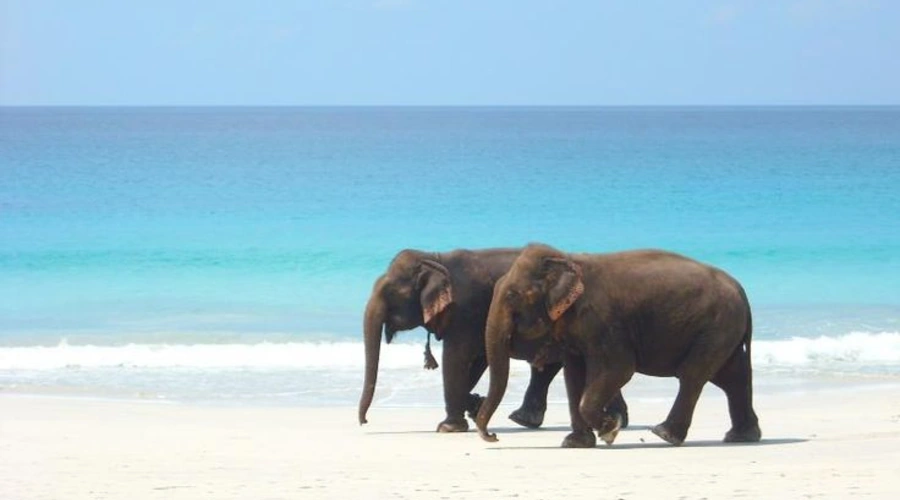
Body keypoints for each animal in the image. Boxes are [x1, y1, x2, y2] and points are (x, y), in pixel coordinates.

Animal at [358, 248, 630, 432]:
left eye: (391, 293)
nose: (364, 421)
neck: (435, 257)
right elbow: (478, 360)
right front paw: (475, 406)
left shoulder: (466, 312)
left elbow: (456, 359)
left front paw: (449, 427)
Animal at [475, 243, 761, 448]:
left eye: (512, 296)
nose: (493, 436)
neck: (569, 259)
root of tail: (741, 290)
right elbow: (574, 376)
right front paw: (576, 443)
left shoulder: (604, 321)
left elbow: (619, 369)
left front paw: (610, 430)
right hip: (723, 331)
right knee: (731, 377)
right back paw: (741, 437)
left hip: (717, 326)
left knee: (693, 374)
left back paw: (664, 434)